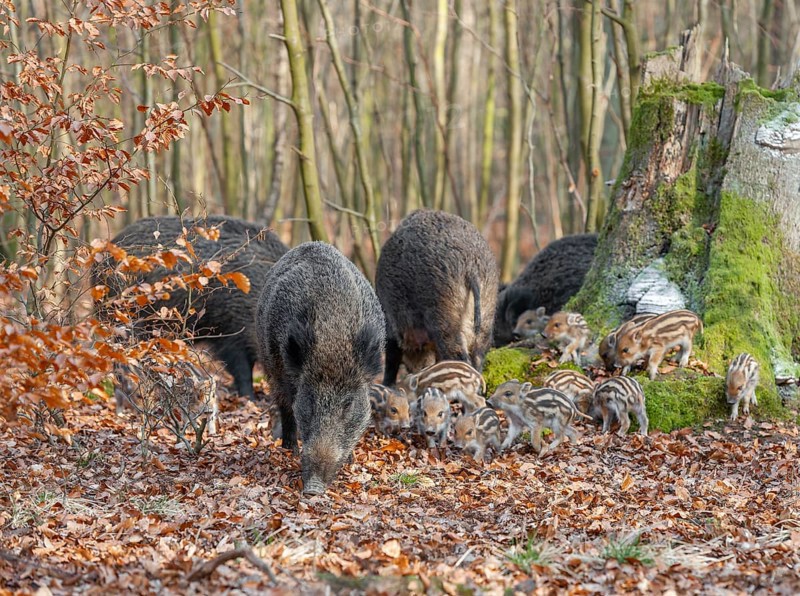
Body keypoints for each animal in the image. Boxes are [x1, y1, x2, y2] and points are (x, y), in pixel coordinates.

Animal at [256, 242, 385, 495]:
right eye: (311, 400)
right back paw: (289, 449)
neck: (332, 336)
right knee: (284, 406)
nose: (313, 489)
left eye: (348, 404)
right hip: (271, 366)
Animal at [375, 210, 499, 385]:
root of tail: (471, 268)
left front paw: (386, 384)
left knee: (458, 356)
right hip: (487, 310)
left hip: (444, 311)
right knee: (478, 356)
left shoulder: (391, 324)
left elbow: (392, 359)